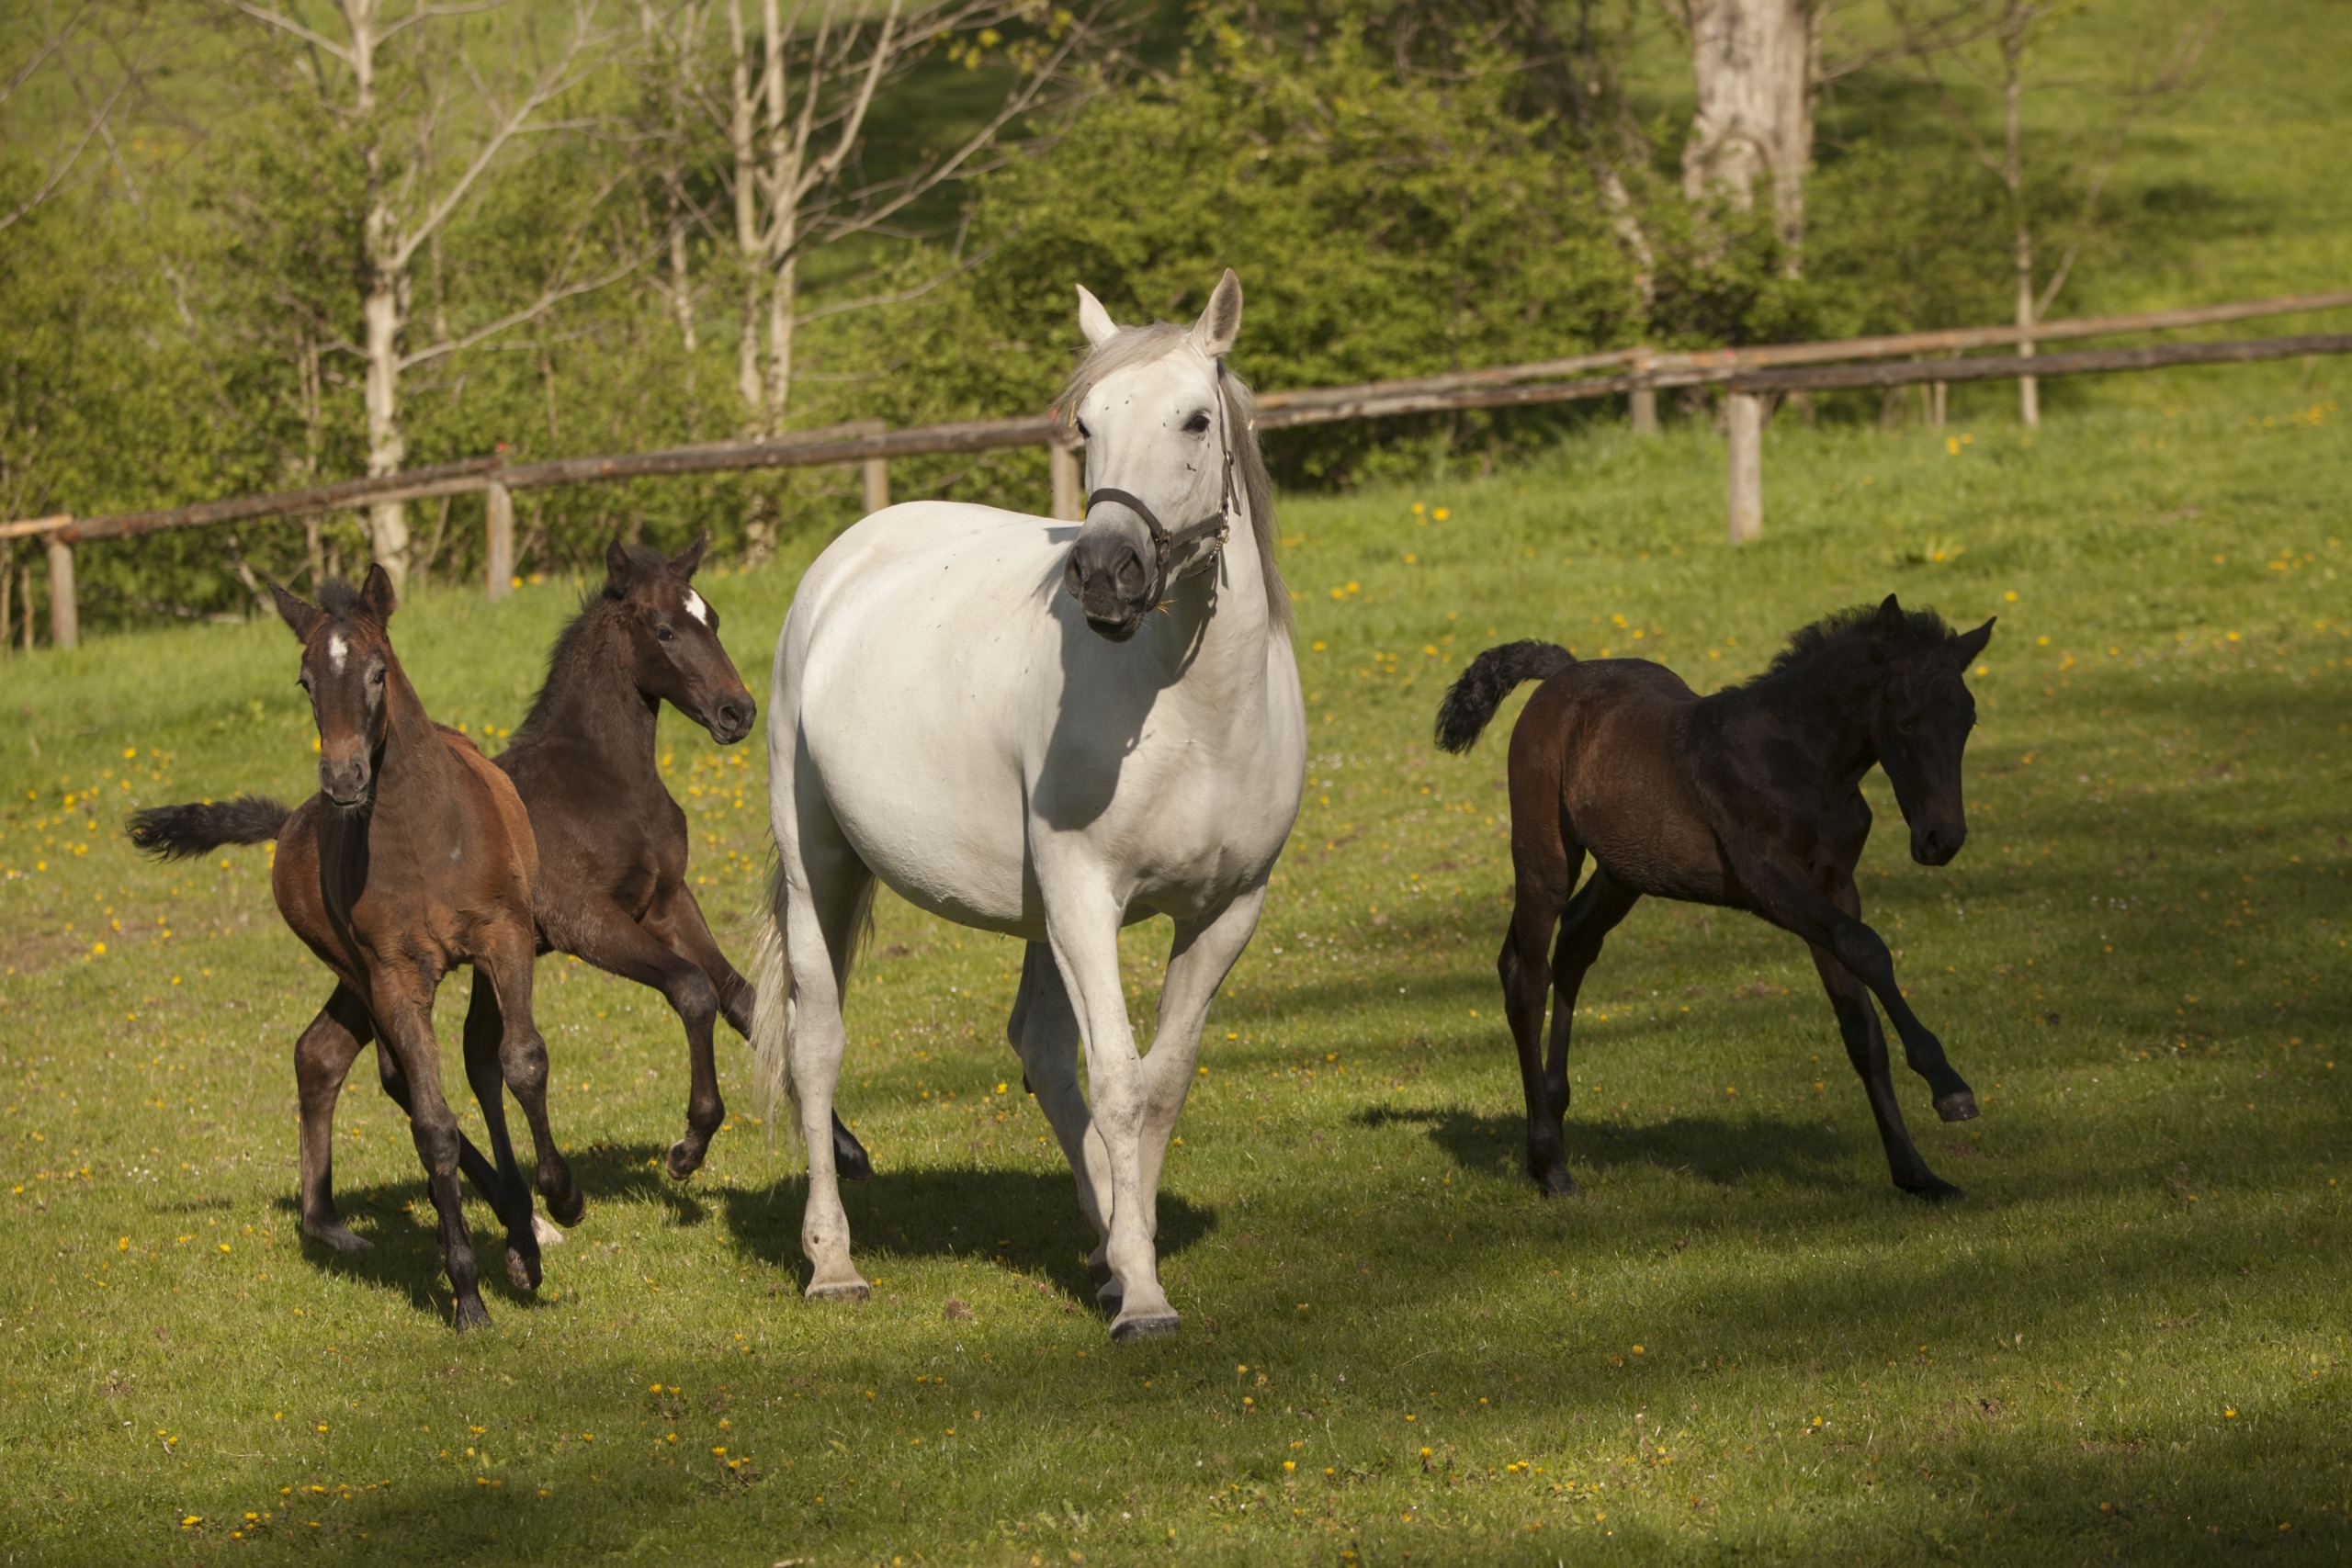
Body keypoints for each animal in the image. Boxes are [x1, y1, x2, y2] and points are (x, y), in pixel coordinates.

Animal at [134, 570, 582, 1335]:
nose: (344, 777)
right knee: (372, 1068)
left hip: (447, 967)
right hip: (353, 969)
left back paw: (520, 1223)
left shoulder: (505, 938)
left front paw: (564, 1196)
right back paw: (492, 1229)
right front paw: (467, 1292)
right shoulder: (394, 974)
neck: (423, 838)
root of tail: (291, 821)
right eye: (306, 680)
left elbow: (524, 1062)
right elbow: (432, 1123)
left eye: (378, 672)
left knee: (464, 1058)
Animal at [752, 270, 1307, 1335]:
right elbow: (1120, 1082)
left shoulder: (1228, 911)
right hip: (822, 871)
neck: (1194, 711)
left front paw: (1130, 1256)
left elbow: (1160, 1085)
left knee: (1042, 1049)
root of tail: (848, 556)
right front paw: (1143, 1296)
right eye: (1086, 423)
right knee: (817, 1047)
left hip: (1036, 914)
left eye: (1195, 418)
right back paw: (833, 1262)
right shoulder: (1087, 897)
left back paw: (1100, 1240)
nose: (1104, 574)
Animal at [1439, 597, 1994, 1203]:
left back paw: (1555, 1120)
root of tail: (1564, 672)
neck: (1799, 759)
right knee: (1526, 972)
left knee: (1575, 946)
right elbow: (1866, 947)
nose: (1942, 839)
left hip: (1624, 871)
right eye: (1906, 720)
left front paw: (1917, 1174)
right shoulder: (1769, 880)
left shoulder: (1834, 884)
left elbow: (1860, 1027)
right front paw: (1949, 1088)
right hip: (1545, 854)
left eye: (1968, 720)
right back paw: (1550, 1165)